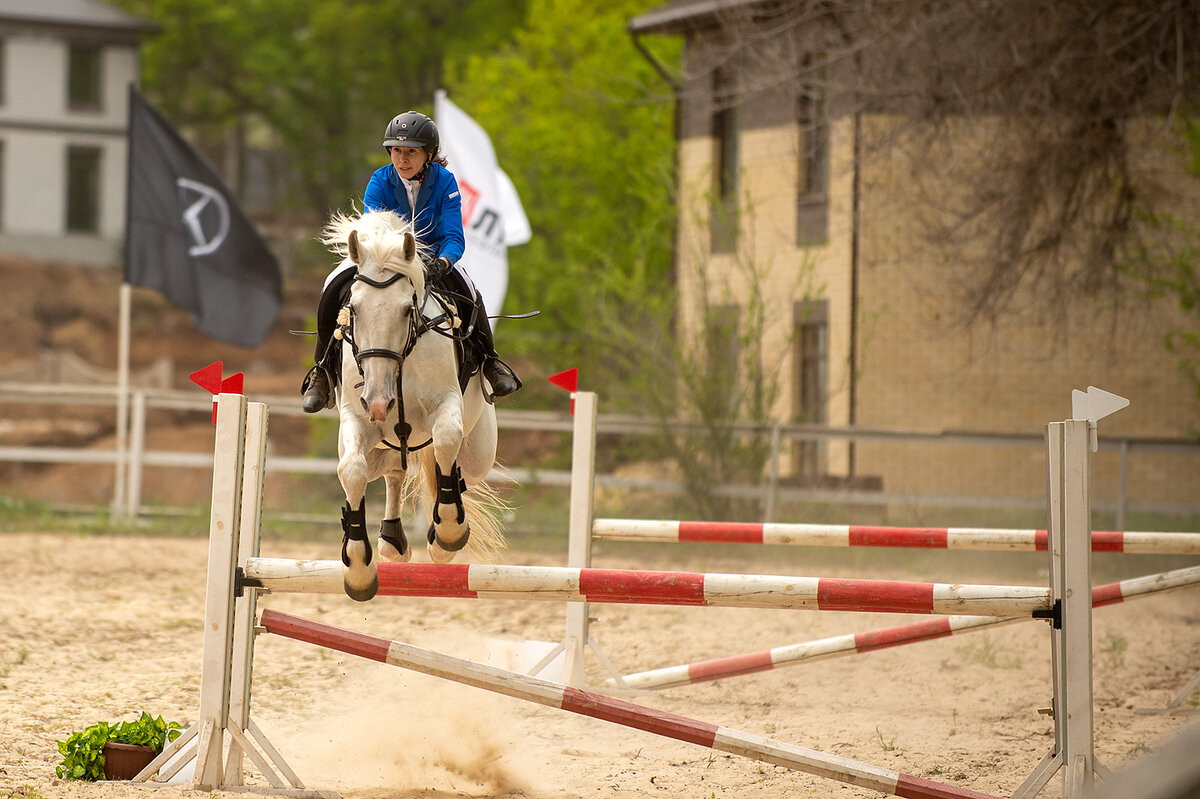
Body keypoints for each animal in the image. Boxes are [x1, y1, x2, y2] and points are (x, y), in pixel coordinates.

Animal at [319, 208, 506, 599]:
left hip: (479, 453)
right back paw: (391, 540)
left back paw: (438, 534)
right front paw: (358, 568)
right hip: (383, 445)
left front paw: (448, 532)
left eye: (407, 310)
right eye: (353, 309)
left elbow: (446, 440)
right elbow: (351, 471)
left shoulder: (446, 406)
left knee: (453, 465)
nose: (378, 401)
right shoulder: (357, 420)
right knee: (393, 471)